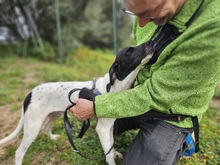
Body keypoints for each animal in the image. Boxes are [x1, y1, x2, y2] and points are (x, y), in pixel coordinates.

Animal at [0, 41, 155, 165]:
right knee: (19, 152)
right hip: (32, 126)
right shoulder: (102, 128)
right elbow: (109, 155)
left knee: (46, 127)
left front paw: (115, 152)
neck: (114, 87)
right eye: (129, 50)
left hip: (54, 115)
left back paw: (53, 138)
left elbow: (111, 146)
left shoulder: (110, 126)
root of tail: (29, 93)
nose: (150, 41)